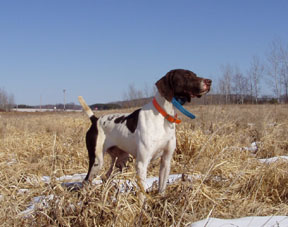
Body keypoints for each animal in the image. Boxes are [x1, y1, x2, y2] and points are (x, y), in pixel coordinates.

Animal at [79, 68, 212, 193]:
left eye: (194, 74)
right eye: (187, 75)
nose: (209, 81)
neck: (163, 116)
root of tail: (95, 120)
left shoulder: (166, 161)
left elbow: (162, 188)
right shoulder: (142, 163)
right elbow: (142, 193)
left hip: (121, 161)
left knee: (106, 177)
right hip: (97, 161)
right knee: (86, 181)